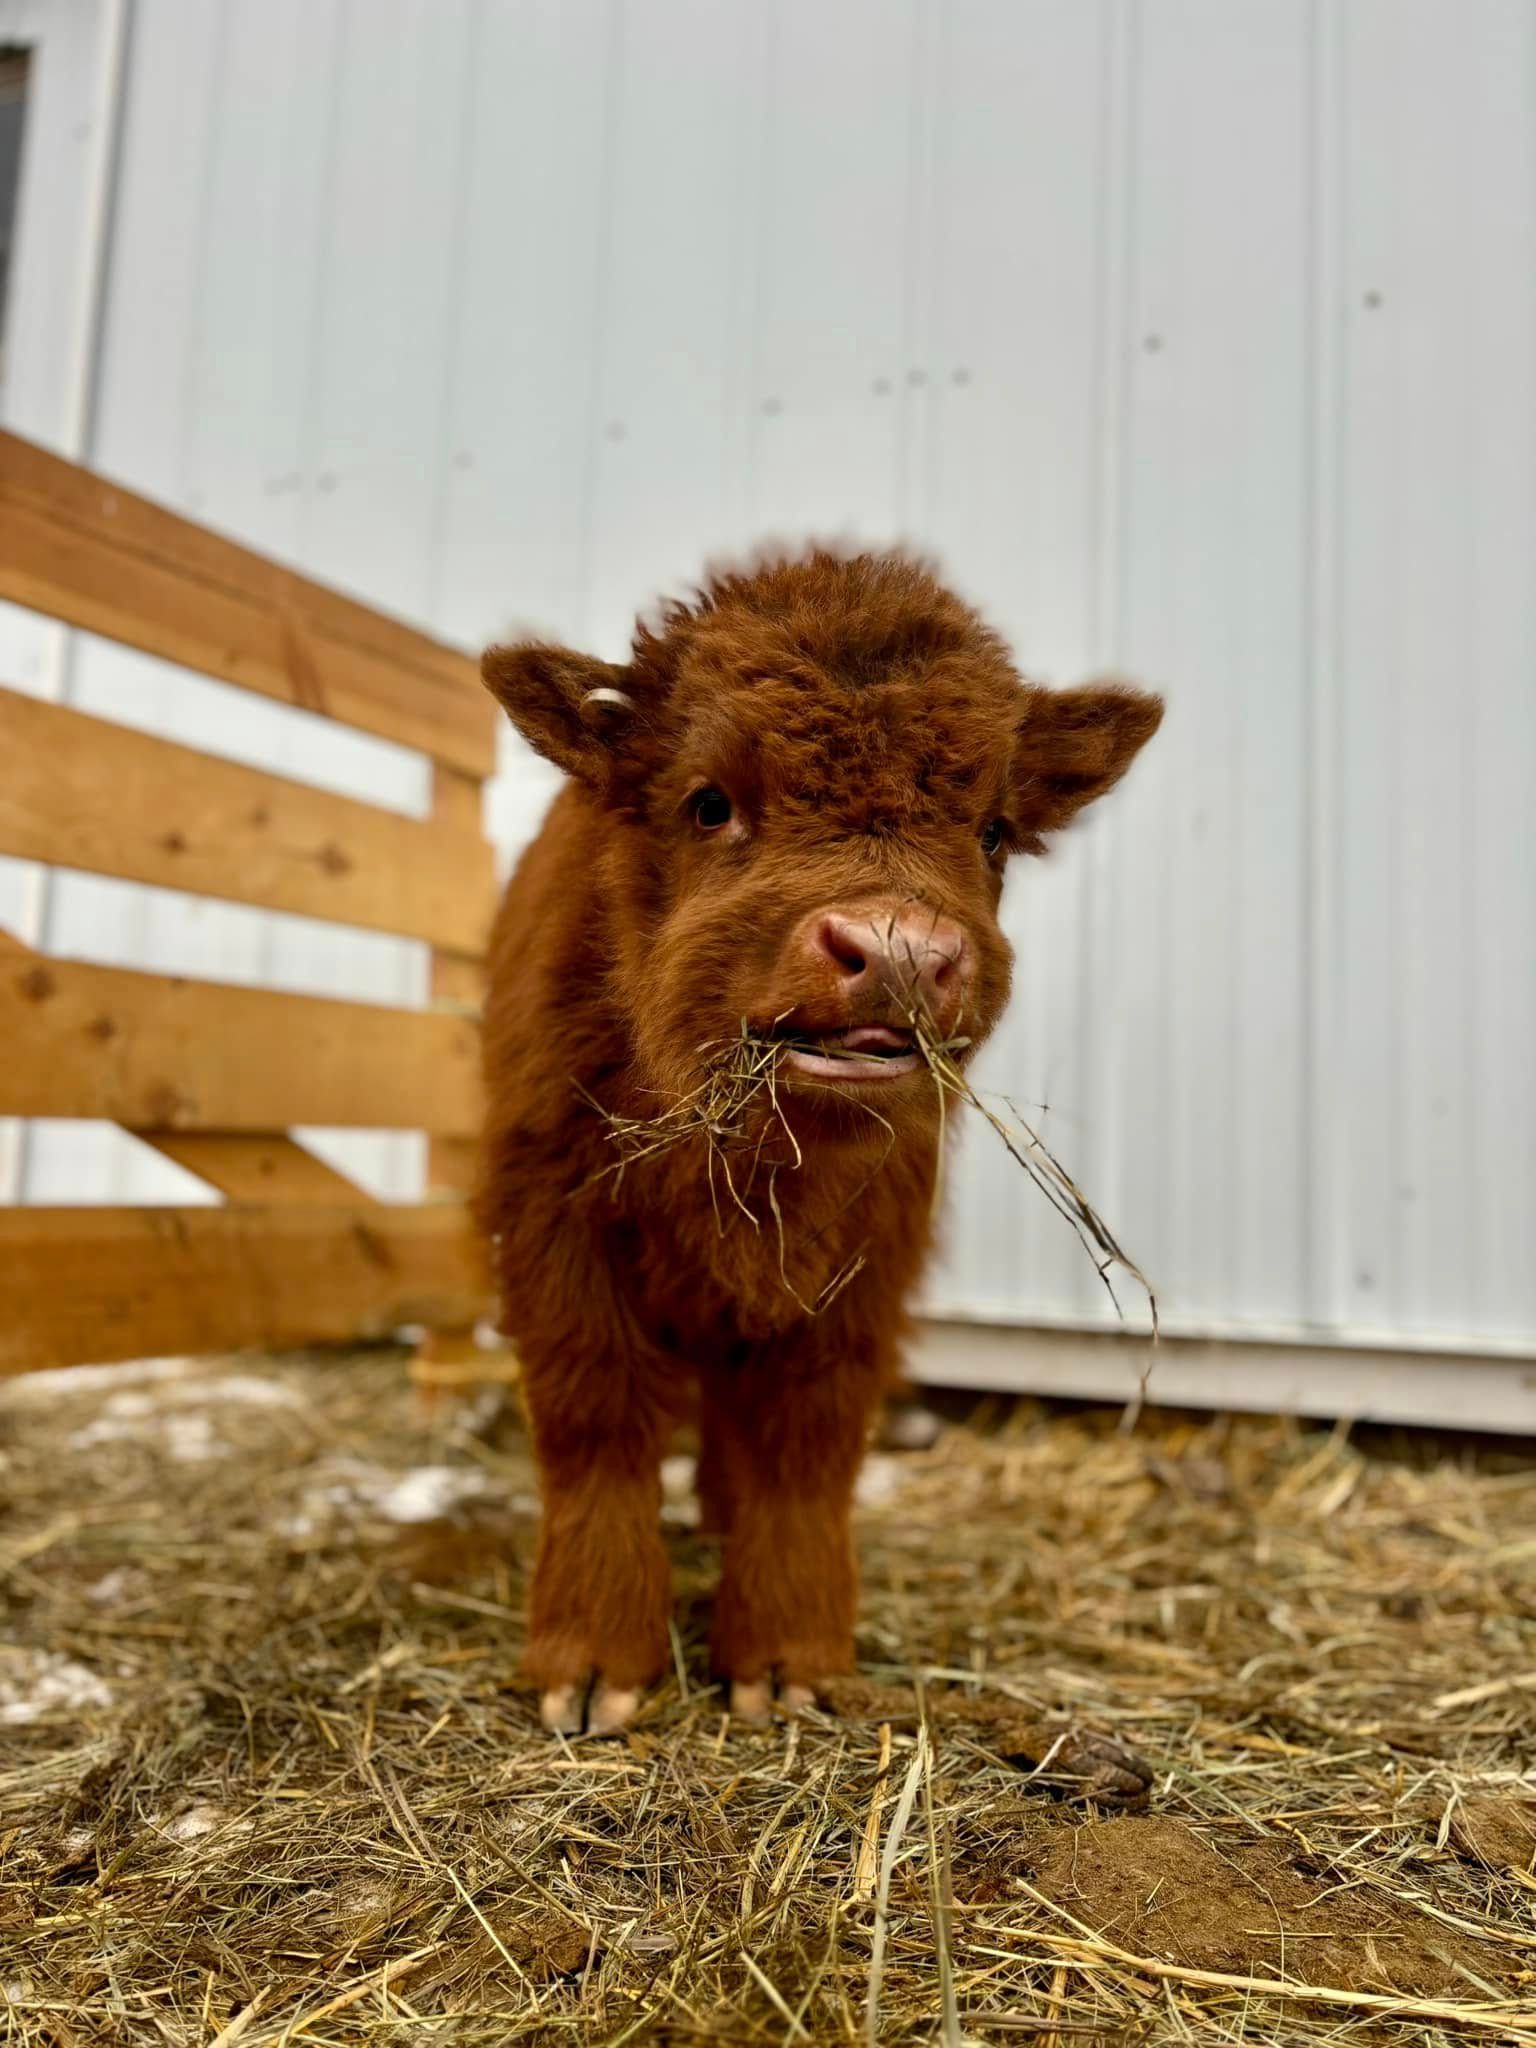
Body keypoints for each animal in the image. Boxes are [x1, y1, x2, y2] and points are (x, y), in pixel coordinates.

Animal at [477, 548, 1162, 1735]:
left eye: (991, 829)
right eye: (710, 801)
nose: (896, 952)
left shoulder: (865, 1264)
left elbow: (807, 1441)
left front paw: (788, 1661)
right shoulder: (555, 1225)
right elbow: (594, 1420)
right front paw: (593, 1667)